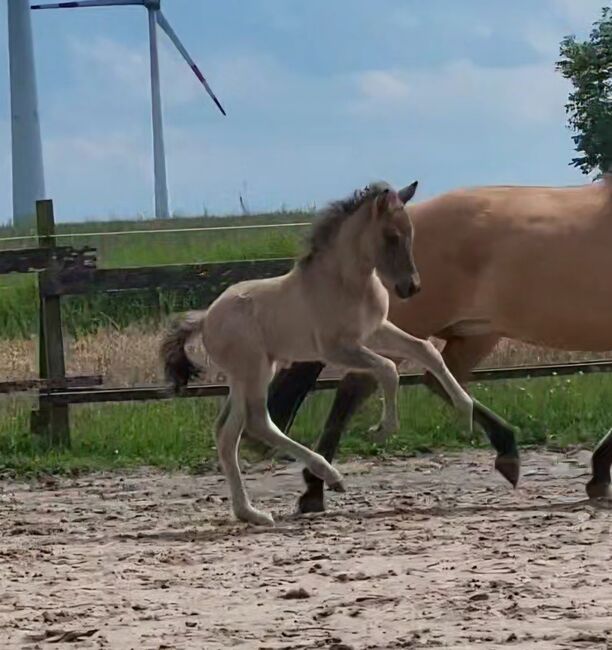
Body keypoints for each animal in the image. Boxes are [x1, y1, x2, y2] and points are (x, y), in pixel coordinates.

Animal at [161, 181, 475, 526]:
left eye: (412, 233)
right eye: (391, 236)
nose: (411, 287)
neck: (346, 283)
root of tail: (205, 318)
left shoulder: (375, 331)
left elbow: (427, 350)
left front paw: (466, 411)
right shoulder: (336, 349)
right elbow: (387, 369)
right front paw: (382, 430)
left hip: (248, 375)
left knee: (227, 434)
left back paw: (250, 513)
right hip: (254, 370)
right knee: (257, 422)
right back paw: (330, 476)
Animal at [264, 175, 612, 514]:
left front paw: (598, 477)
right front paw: (599, 476)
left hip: (476, 333)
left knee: (435, 379)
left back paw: (507, 452)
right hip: (411, 327)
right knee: (356, 388)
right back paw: (314, 490)